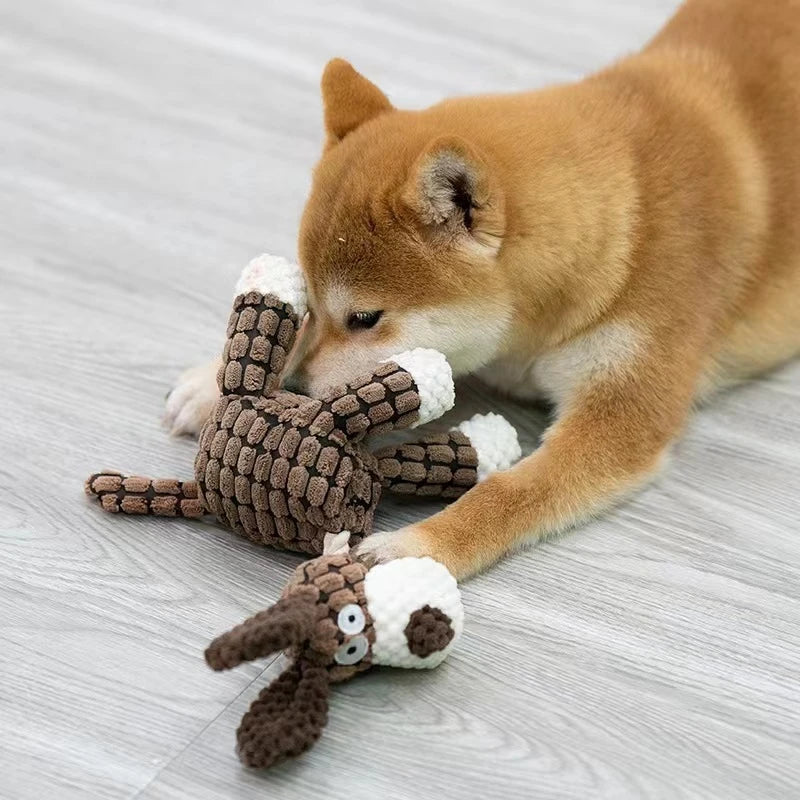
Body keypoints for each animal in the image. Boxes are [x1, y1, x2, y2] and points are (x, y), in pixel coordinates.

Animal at [166, 0, 800, 580]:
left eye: (366, 318)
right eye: (313, 305)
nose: (290, 393)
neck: (630, 213)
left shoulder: (618, 421)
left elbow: (508, 494)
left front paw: (414, 548)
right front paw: (211, 381)